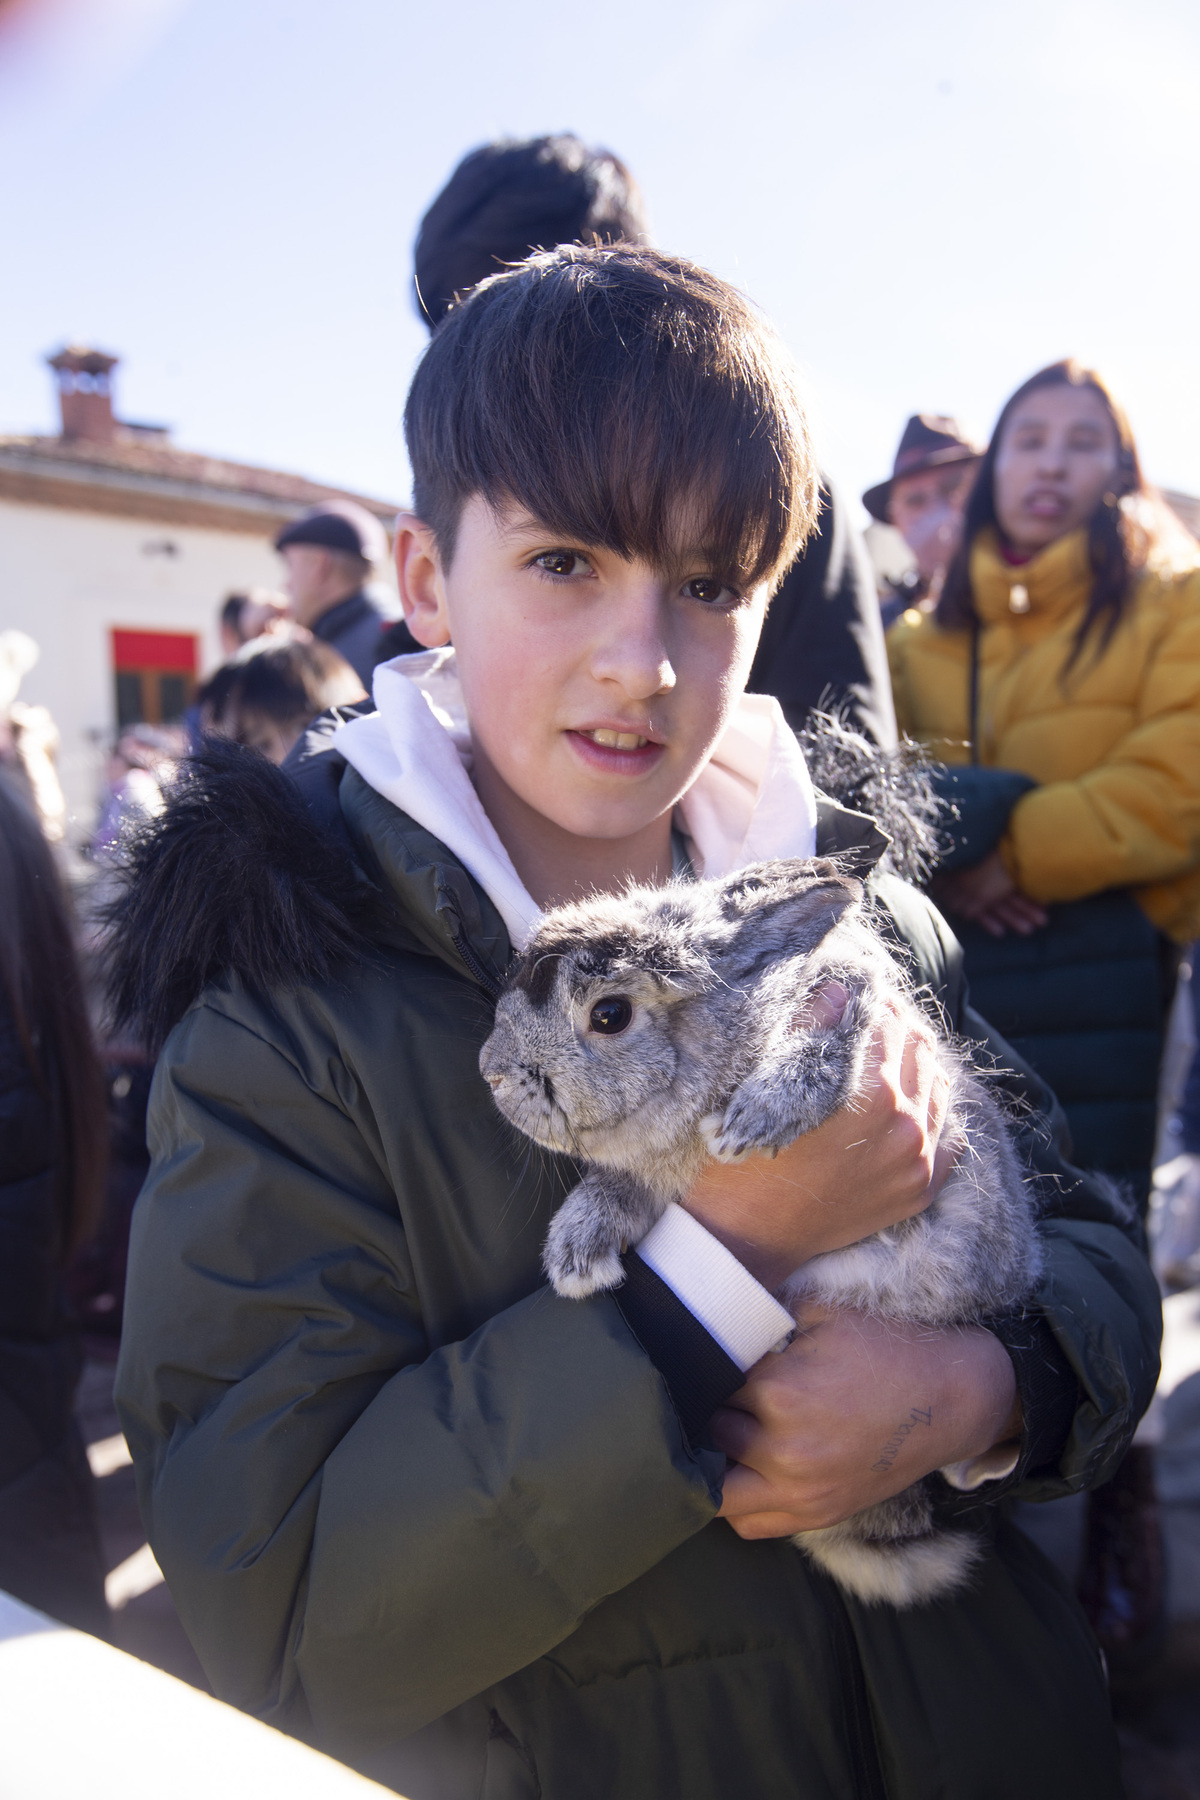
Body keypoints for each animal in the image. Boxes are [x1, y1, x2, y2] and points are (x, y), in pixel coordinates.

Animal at [478, 864, 1043, 1612]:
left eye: (609, 1014)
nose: (490, 1070)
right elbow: (619, 1189)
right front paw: (577, 1257)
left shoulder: (848, 998)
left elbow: (831, 1039)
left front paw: (750, 1123)